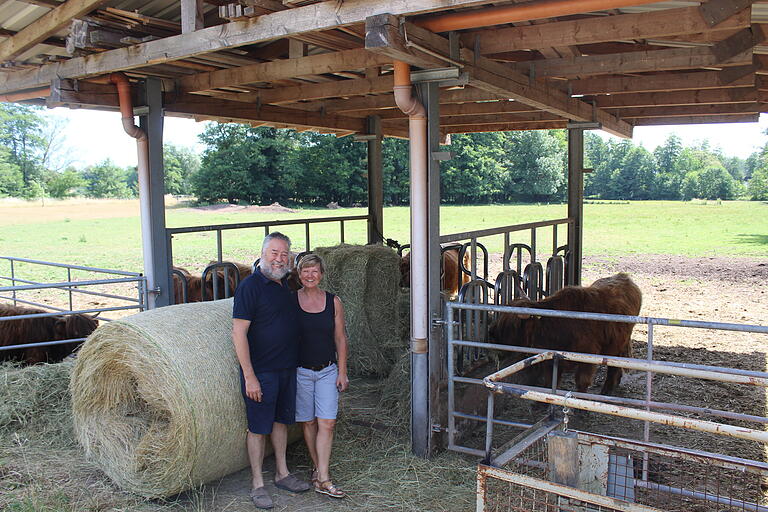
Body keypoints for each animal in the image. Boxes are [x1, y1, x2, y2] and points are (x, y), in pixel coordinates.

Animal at [492, 274, 640, 394]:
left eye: (512, 325)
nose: (491, 335)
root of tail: (624, 277)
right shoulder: (551, 359)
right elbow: (550, 380)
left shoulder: (588, 356)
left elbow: (582, 381)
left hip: (618, 344)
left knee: (613, 366)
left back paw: (607, 390)